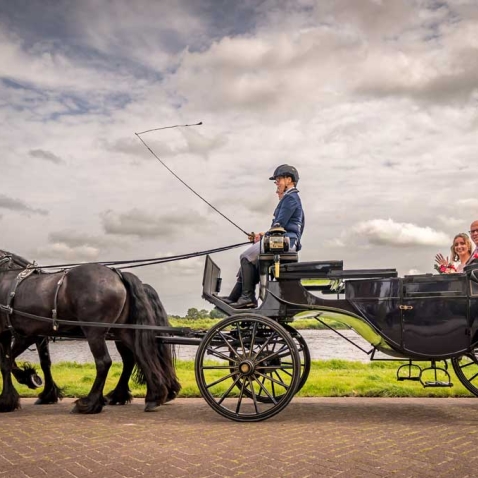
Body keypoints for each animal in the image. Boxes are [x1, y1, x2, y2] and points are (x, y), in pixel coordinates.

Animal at [0, 248, 179, 412]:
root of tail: (117, 274)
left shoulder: (17, 334)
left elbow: (5, 362)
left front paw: (9, 397)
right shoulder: (36, 334)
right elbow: (43, 362)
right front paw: (43, 390)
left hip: (94, 332)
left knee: (104, 362)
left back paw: (90, 402)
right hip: (122, 331)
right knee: (140, 355)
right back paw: (153, 396)